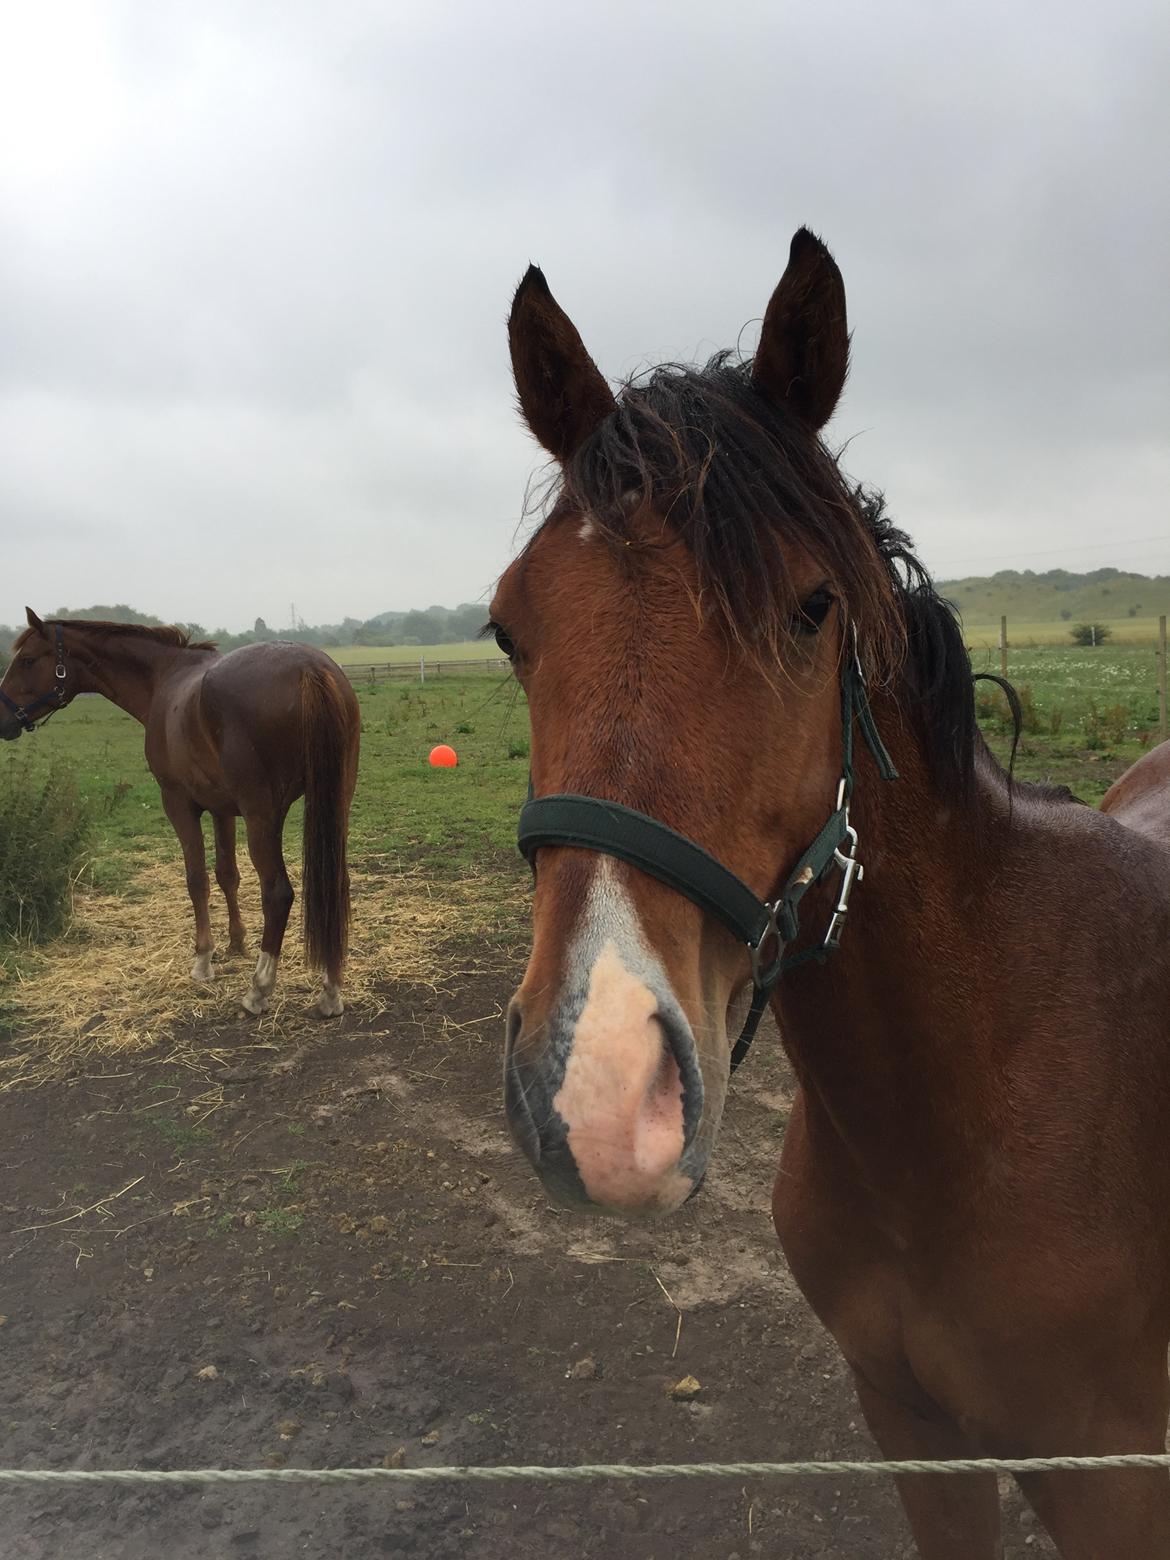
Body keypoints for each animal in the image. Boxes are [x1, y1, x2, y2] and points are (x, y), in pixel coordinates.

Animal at [0, 608, 360, 1023]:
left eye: (28, 660)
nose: (1, 718)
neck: (164, 678)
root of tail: (308, 669)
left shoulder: (178, 803)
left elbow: (196, 879)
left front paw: (203, 960)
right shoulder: (222, 808)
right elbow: (226, 875)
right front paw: (235, 943)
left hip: (263, 816)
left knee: (278, 893)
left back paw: (259, 990)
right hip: (334, 804)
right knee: (335, 885)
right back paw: (331, 990)